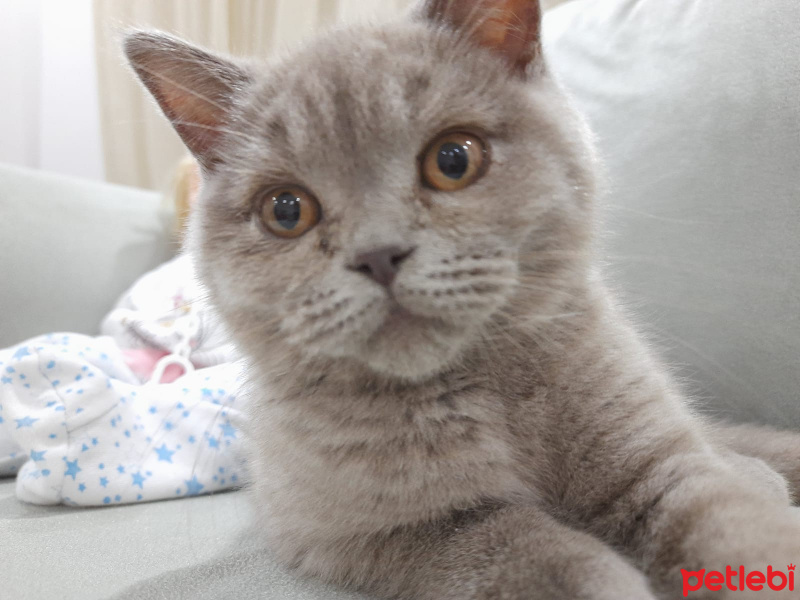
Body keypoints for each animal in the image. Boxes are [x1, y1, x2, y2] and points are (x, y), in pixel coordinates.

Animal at [125, 0, 800, 596]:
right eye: (286, 211)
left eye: (453, 159)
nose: (378, 253)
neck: (489, 391)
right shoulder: (375, 531)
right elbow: (530, 551)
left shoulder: (659, 462)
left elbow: (736, 527)